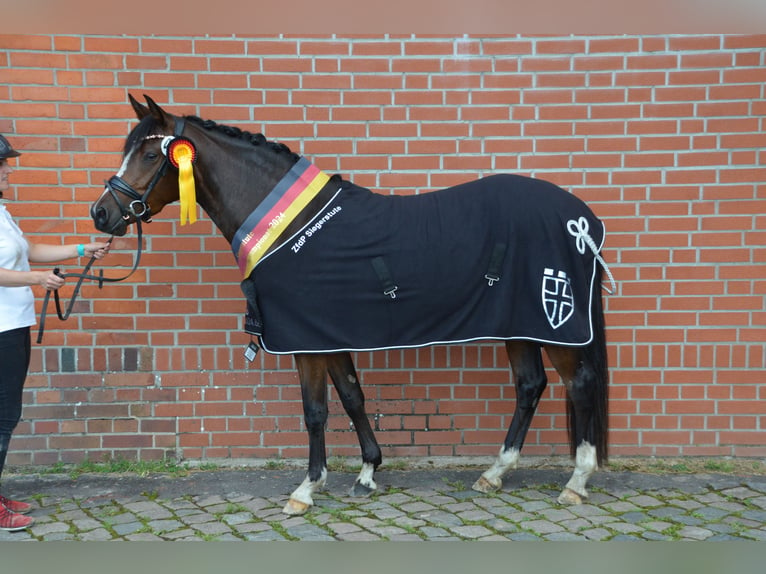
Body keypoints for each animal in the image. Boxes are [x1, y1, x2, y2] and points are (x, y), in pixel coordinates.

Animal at [91, 94, 612, 516]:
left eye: (148, 153)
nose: (101, 213)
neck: (290, 225)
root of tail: (582, 220)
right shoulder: (328, 335)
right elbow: (352, 396)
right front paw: (367, 473)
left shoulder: (306, 342)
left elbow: (316, 412)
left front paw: (306, 489)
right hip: (520, 327)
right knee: (530, 386)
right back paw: (495, 473)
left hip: (554, 322)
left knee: (580, 384)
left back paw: (576, 481)